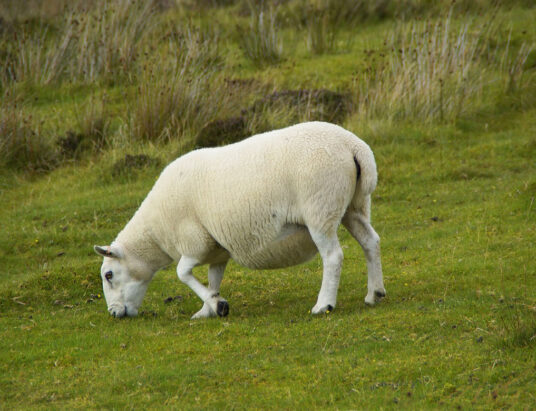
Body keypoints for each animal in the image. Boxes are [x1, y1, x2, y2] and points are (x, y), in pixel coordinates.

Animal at [93, 120, 386, 320]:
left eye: (109, 275)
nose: (113, 313)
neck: (154, 233)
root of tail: (354, 147)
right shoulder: (216, 248)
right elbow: (213, 278)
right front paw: (208, 308)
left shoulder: (194, 241)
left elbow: (182, 273)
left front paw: (218, 305)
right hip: (353, 206)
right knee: (370, 242)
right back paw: (375, 294)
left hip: (320, 209)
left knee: (333, 256)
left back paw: (324, 304)